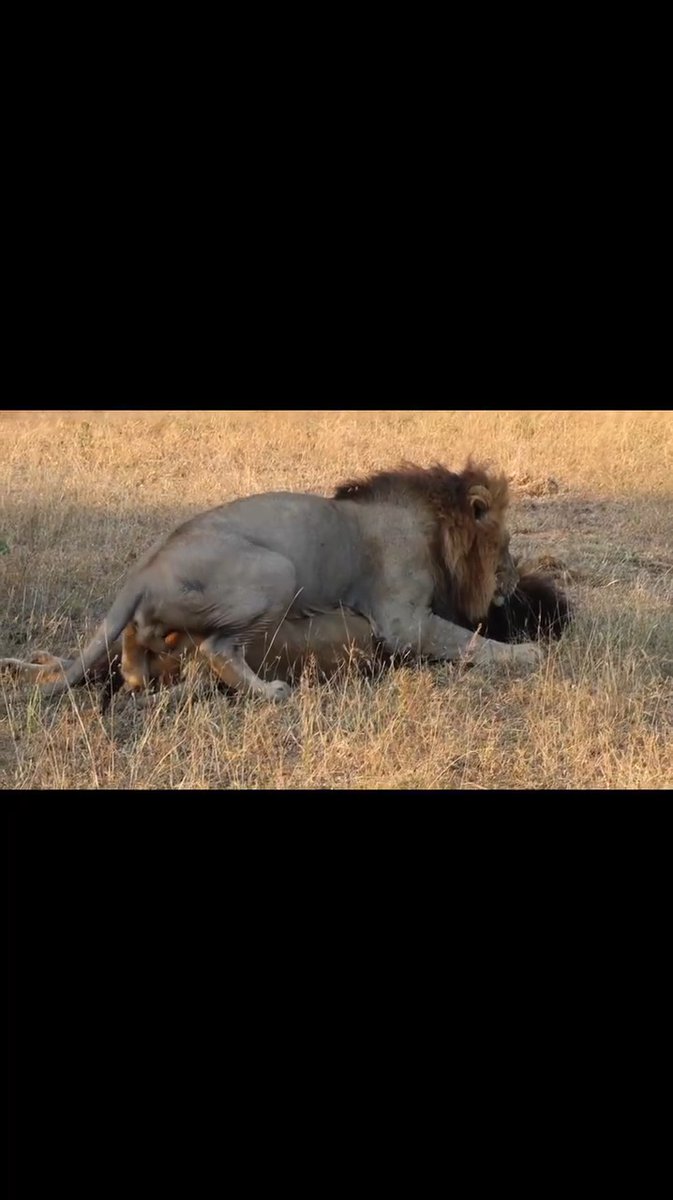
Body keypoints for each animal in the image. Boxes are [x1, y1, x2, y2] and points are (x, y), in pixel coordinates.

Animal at [1, 461, 545, 702]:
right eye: (507, 544)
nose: (515, 577)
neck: (435, 528)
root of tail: (142, 572)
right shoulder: (401, 620)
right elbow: (468, 640)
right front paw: (526, 653)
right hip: (278, 572)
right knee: (215, 649)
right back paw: (271, 692)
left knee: (140, 640)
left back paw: (134, 674)